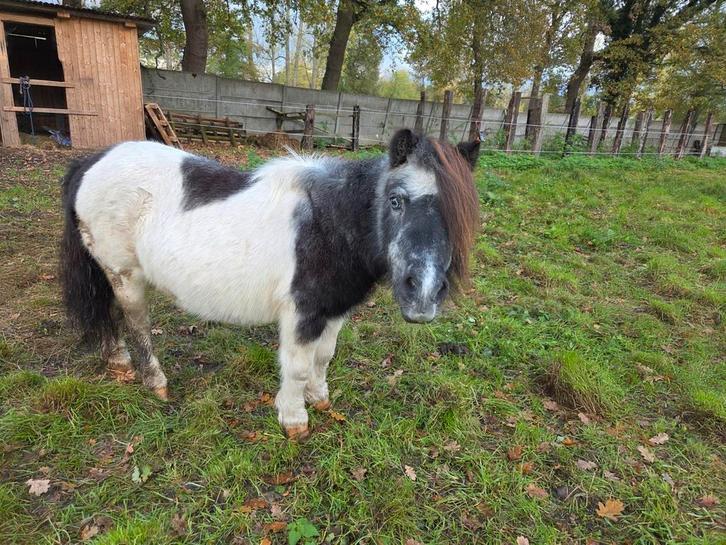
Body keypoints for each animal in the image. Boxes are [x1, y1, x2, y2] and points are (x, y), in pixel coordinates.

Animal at [59, 129, 481, 439]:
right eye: (395, 200)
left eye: (458, 213)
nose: (423, 294)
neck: (328, 224)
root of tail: (92, 162)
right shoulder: (302, 313)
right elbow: (296, 366)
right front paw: (294, 419)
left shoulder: (334, 309)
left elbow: (323, 357)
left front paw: (319, 398)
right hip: (124, 273)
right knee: (136, 324)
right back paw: (155, 381)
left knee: (107, 312)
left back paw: (117, 361)